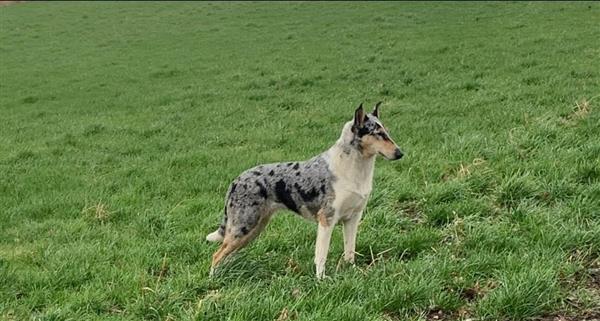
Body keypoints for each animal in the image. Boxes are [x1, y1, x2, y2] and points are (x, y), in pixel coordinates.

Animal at [206, 102, 404, 278]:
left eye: (386, 132)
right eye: (377, 133)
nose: (400, 153)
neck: (353, 169)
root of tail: (236, 181)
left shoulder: (353, 218)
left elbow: (350, 251)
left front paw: (352, 272)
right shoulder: (327, 219)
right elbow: (321, 255)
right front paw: (321, 280)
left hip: (253, 228)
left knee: (226, 253)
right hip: (244, 226)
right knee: (217, 255)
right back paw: (215, 279)